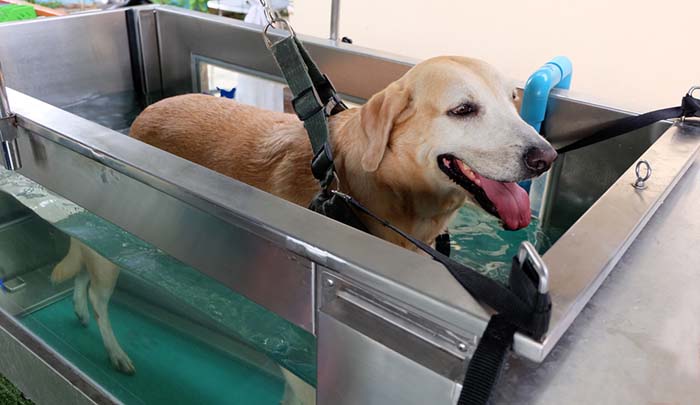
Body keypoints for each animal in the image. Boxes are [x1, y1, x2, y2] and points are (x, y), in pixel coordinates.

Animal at [50, 56, 556, 378]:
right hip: (116, 239)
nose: (546, 157)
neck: (359, 189)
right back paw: (114, 350)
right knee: (100, 295)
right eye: (463, 110)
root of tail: (144, 115)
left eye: (514, 101)